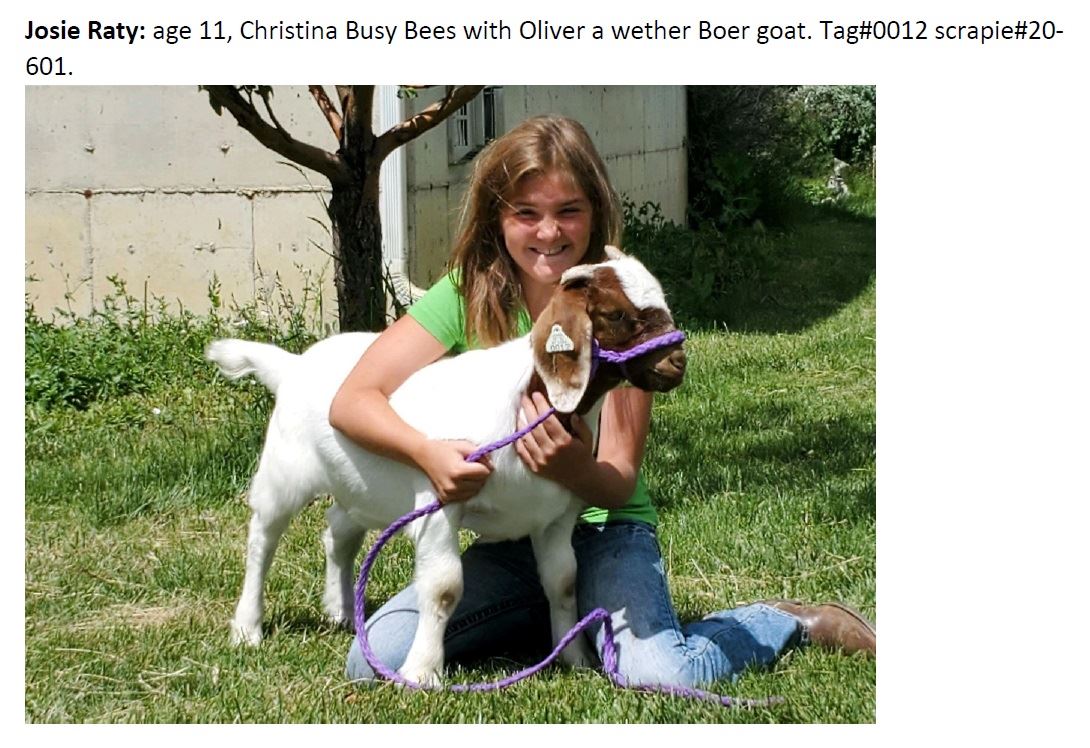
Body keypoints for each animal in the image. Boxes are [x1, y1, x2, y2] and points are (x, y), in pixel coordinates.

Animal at [205, 250, 686, 687]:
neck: (526, 399)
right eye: (616, 313)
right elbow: (444, 587)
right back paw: (248, 627)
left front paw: (576, 658)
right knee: (263, 538)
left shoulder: (556, 516)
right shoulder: (440, 500)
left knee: (338, 530)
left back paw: (341, 610)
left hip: (363, 486)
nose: (677, 363)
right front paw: (422, 672)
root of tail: (293, 366)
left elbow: (564, 580)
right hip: (284, 470)